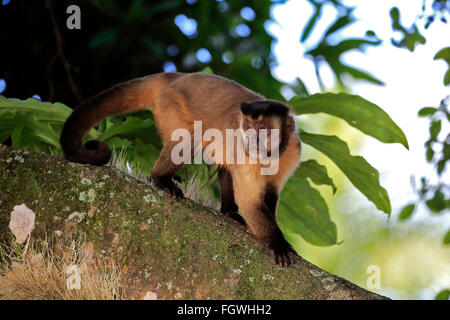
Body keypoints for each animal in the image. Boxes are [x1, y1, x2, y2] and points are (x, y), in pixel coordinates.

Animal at [59, 72, 298, 264]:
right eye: (248, 127)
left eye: (262, 129)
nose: (250, 139)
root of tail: (181, 76)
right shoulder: (244, 151)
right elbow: (249, 202)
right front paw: (277, 242)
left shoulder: (292, 150)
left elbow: (270, 192)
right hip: (171, 102)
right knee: (186, 141)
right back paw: (160, 178)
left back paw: (229, 211)